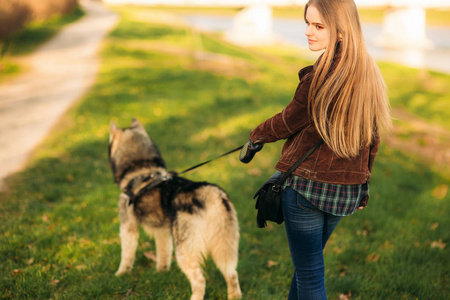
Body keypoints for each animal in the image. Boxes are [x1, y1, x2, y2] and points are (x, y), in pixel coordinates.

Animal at [109, 118, 243, 298]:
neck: (141, 169)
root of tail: (210, 193)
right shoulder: (162, 232)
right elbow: (163, 253)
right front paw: (161, 272)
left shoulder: (128, 227)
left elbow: (127, 255)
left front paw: (121, 274)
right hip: (223, 245)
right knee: (232, 274)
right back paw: (234, 296)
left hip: (185, 250)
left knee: (200, 280)